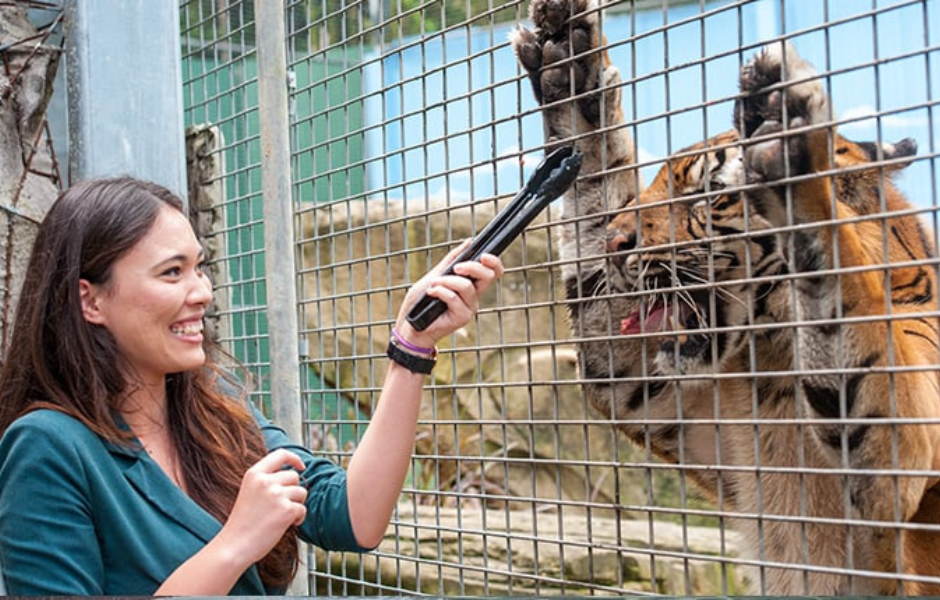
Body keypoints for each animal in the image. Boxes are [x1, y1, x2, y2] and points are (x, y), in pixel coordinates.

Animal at [516, 0, 940, 596]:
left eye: (710, 194)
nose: (615, 244)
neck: (770, 359)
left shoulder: (901, 467)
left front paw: (789, 137)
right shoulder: (642, 388)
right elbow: (592, 188)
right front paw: (570, 69)